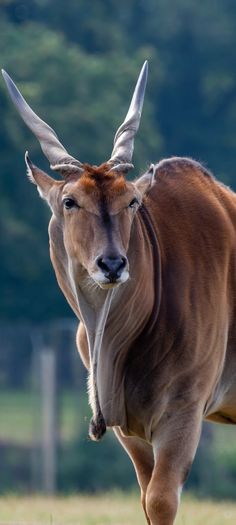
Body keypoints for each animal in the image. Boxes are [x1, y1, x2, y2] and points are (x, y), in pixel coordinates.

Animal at [2, 62, 236, 524]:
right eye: (70, 201)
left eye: (131, 201)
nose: (112, 264)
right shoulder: (129, 429)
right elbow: (145, 499)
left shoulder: (184, 413)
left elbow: (160, 501)